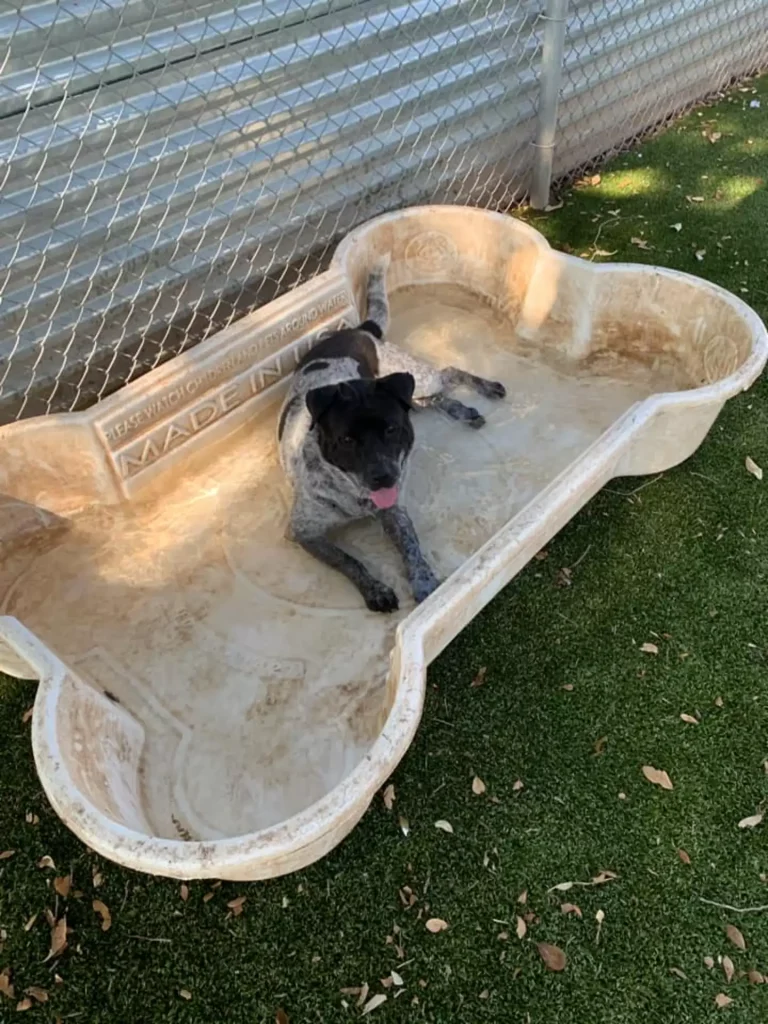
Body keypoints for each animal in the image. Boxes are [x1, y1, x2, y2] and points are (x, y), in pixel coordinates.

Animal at [276, 264, 505, 610]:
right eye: (346, 441)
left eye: (391, 430)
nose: (384, 477)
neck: (355, 497)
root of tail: (360, 330)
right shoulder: (305, 532)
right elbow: (348, 560)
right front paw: (375, 589)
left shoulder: (395, 511)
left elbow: (411, 544)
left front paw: (423, 581)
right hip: (413, 392)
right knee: (434, 397)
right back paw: (461, 409)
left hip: (415, 378)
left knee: (449, 373)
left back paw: (484, 389)